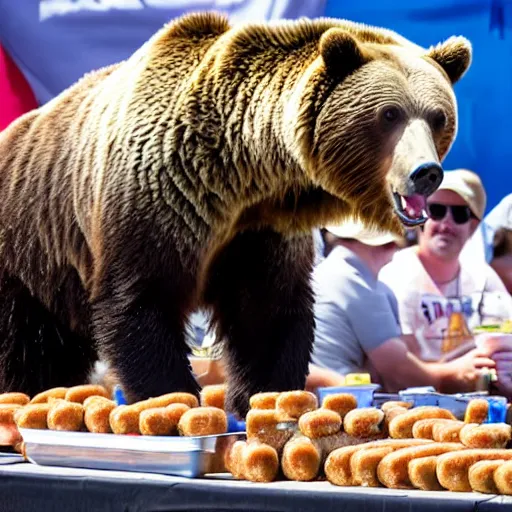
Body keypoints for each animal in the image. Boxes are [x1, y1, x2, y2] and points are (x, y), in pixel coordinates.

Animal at [0, 12, 472, 414]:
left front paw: (259, 397)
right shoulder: (156, 199)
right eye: (389, 114)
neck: (242, 174)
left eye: (437, 116)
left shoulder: (262, 231)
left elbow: (265, 313)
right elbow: (143, 301)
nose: (426, 173)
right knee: (25, 345)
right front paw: (173, 396)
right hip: (28, 245)